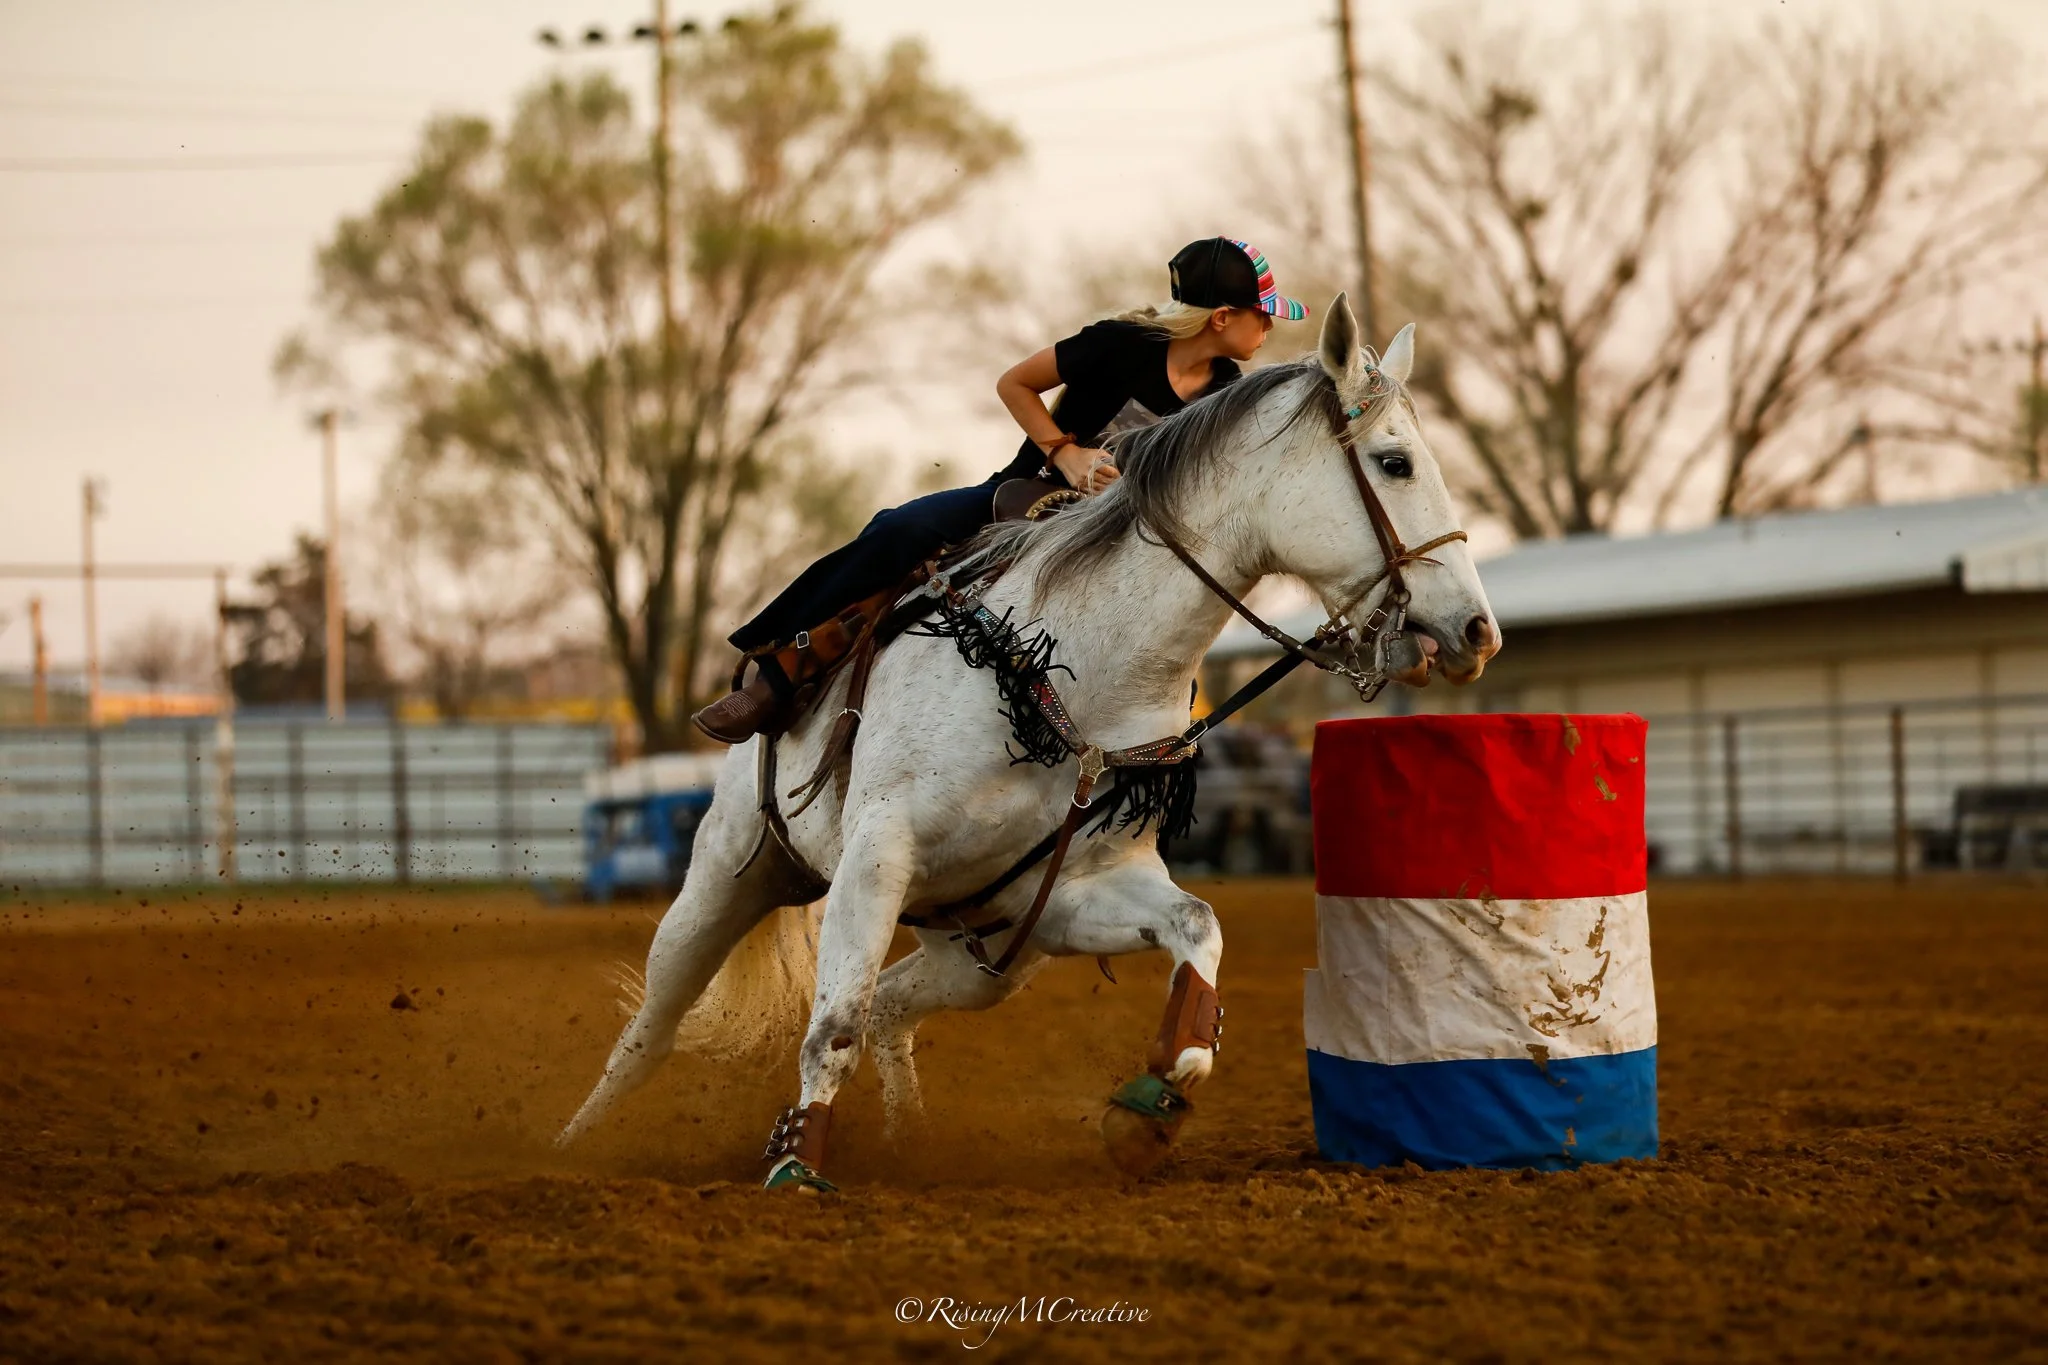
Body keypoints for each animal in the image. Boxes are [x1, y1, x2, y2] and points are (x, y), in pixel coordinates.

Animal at [556, 293, 1501, 1189]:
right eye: (1394, 461)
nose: (1477, 631)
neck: (1076, 669)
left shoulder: (1077, 891)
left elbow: (1198, 930)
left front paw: (1152, 1103)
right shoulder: (876, 857)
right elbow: (831, 1027)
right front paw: (796, 1165)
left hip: (983, 957)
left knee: (891, 1004)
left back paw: (909, 1139)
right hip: (728, 874)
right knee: (652, 1029)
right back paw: (575, 1145)